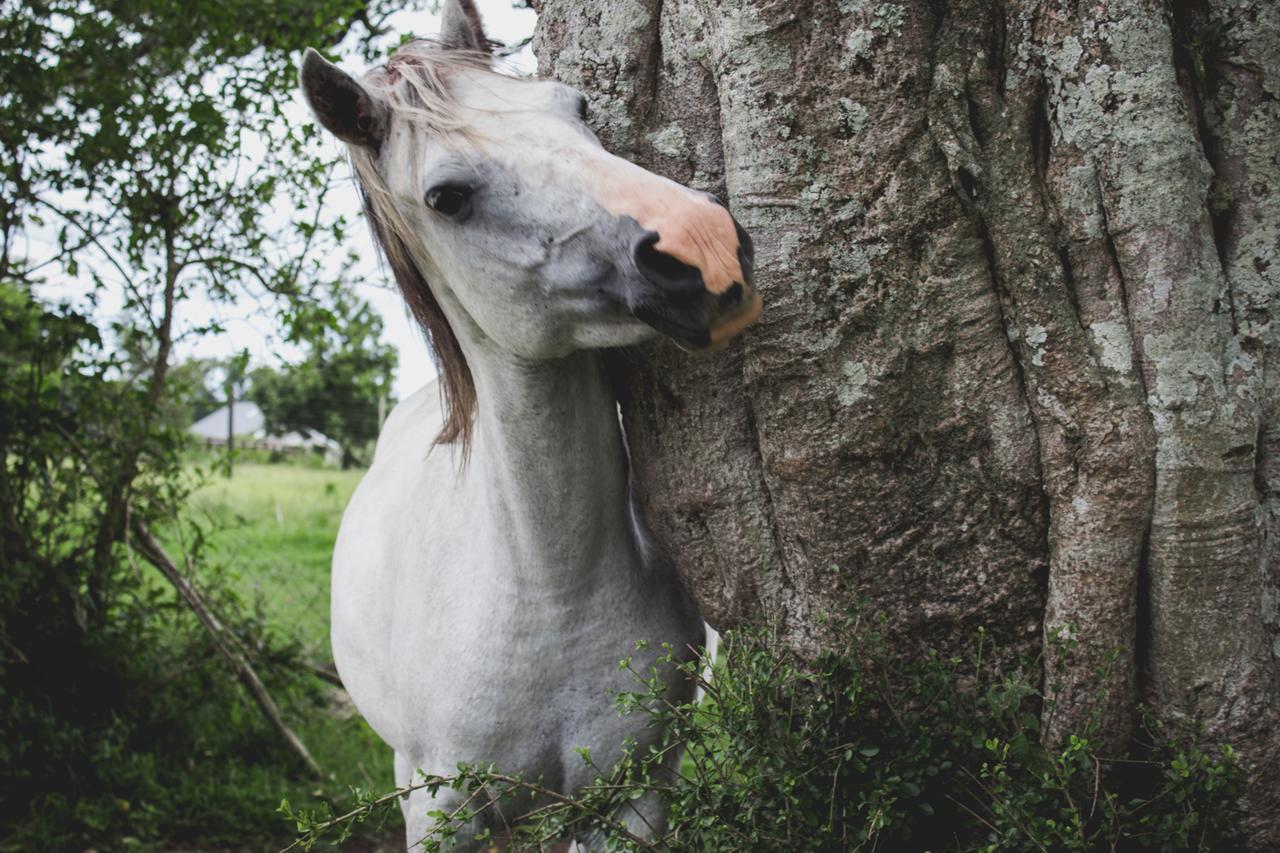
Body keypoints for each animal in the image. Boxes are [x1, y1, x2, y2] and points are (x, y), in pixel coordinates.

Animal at [299, 3, 757, 845]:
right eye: (446, 196)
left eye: (576, 107)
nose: (703, 247)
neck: (547, 595)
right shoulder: (442, 808)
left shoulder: (632, 797)